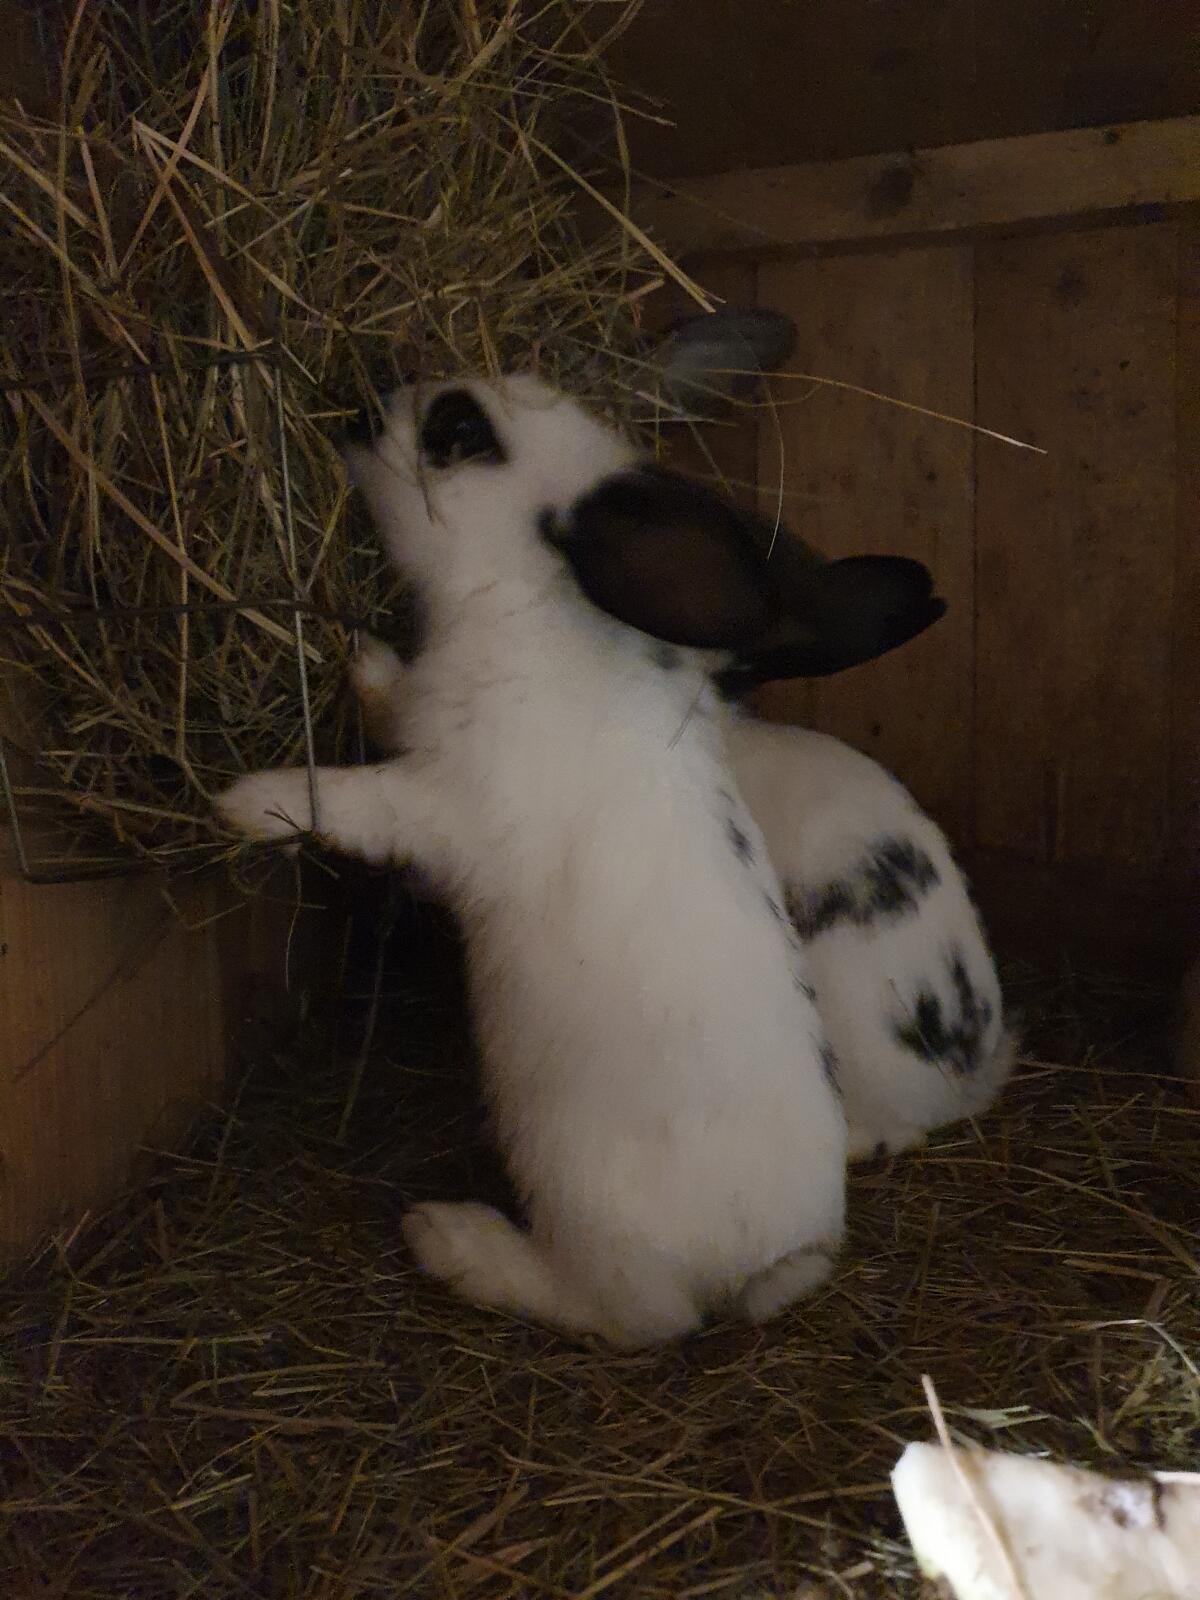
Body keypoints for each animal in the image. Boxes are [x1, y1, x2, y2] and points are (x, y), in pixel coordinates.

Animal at [218, 343, 934, 1349]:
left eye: (459, 432)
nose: (358, 411)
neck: (527, 602)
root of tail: (770, 1261)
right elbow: (392, 702)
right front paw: (360, 656)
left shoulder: (446, 803)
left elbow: (355, 803)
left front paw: (249, 803)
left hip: (584, 1206)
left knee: (621, 1318)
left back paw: (453, 1241)